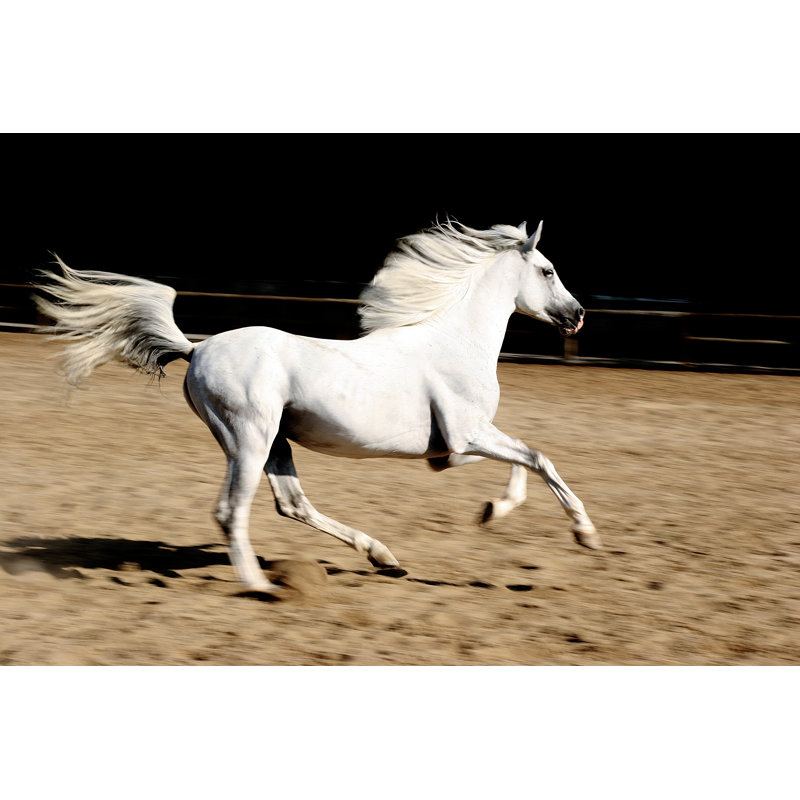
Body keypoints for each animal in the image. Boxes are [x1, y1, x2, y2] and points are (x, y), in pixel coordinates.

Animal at [34, 218, 600, 594]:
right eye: (548, 271)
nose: (577, 317)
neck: (455, 342)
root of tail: (196, 349)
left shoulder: (453, 450)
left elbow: (526, 460)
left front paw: (491, 511)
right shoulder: (467, 436)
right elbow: (538, 457)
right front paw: (585, 535)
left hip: (275, 442)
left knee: (292, 504)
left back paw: (384, 558)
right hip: (250, 439)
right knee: (231, 511)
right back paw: (260, 586)